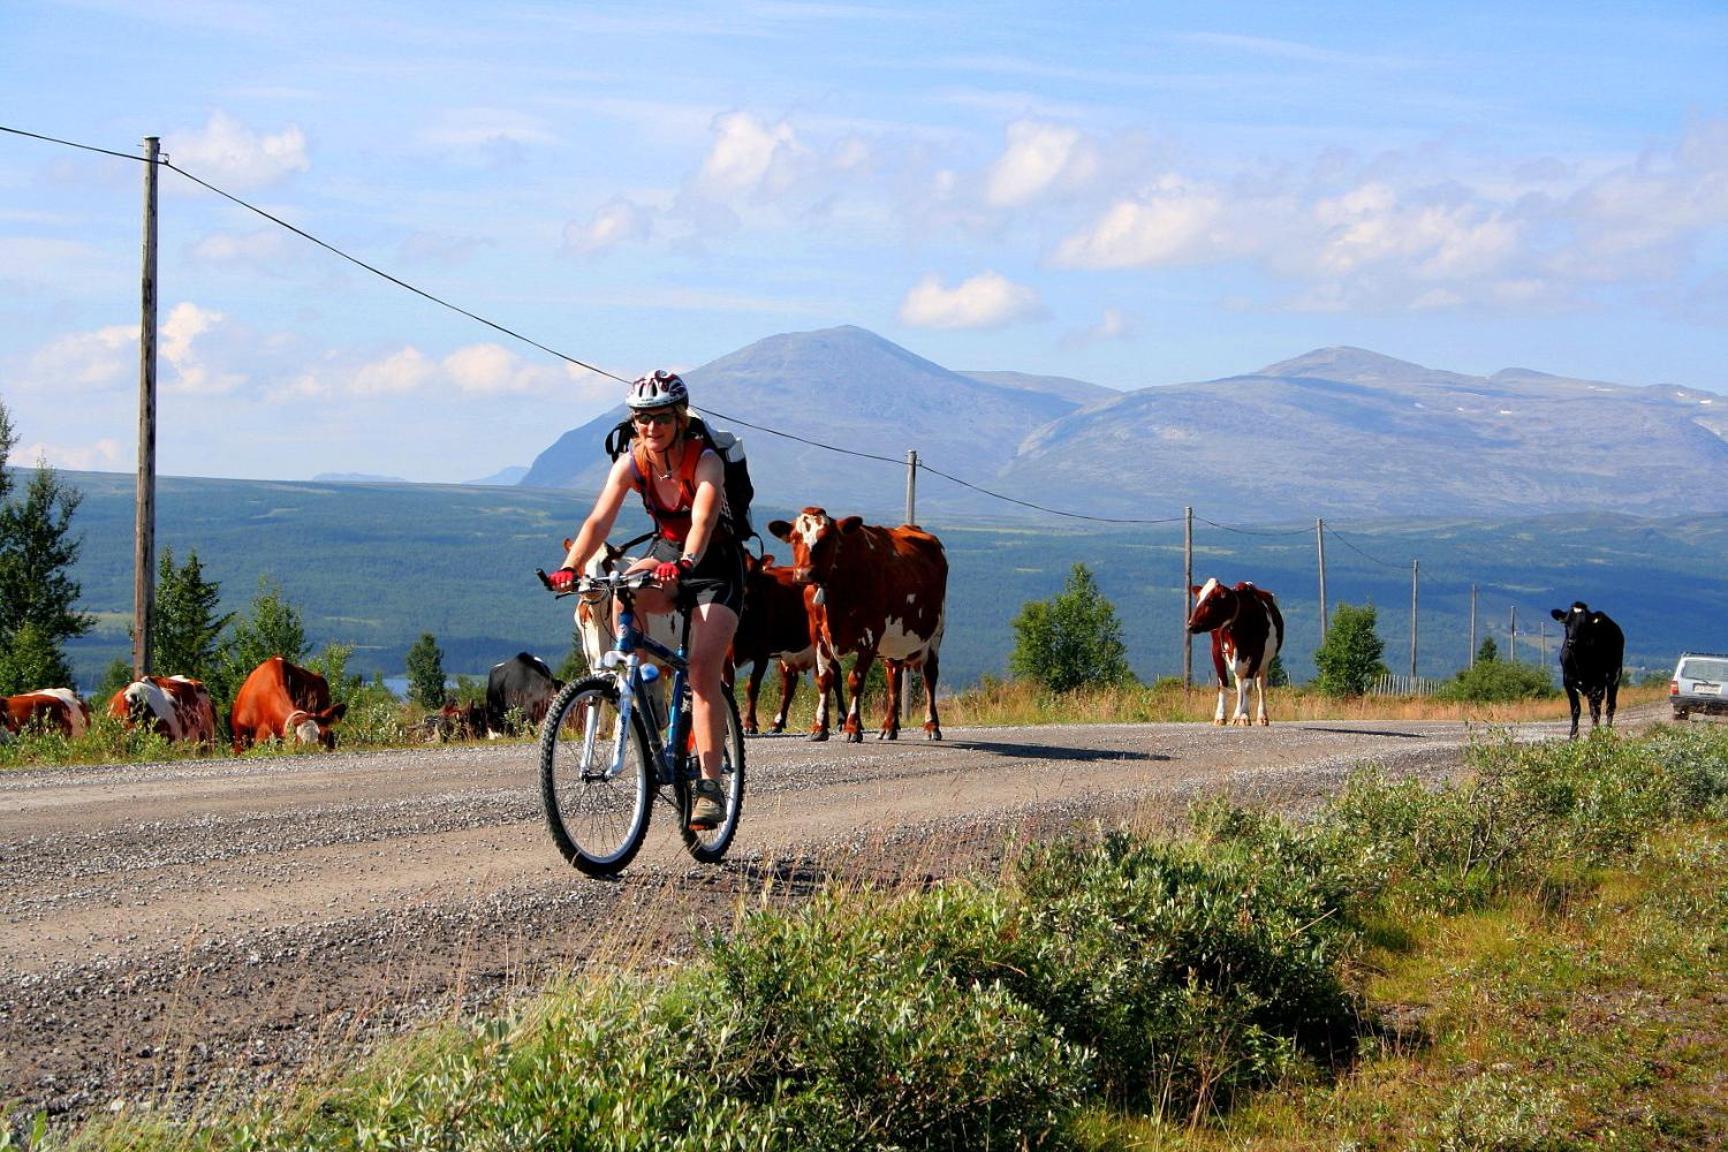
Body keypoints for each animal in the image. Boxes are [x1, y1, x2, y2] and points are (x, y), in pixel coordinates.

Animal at [767, 507, 946, 742]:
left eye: (828, 538)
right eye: (795, 538)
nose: (804, 574)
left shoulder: (870, 635)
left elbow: (855, 680)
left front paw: (852, 728)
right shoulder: (818, 635)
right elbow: (824, 679)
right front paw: (819, 728)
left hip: (935, 632)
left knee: (930, 676)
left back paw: (931, 726)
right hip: (894, 642)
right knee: (894, 676)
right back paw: (888, 727)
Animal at [1188, 580, 1285, 725]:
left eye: (1211, 600)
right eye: (1198, 598)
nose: (1190, 625)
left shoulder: (1257, 652)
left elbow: (1248, 686)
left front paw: (1245, 716)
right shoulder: (1216, 650)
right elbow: (1223, 684)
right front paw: (1221, 716)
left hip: (1265, 662)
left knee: (1260, 685)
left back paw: (1262, 717)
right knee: (1239, 685)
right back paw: (1235, 716)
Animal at [1555, 604, 1617, 739]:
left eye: (1583, 624)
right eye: (1566, 622)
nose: (1571, 642)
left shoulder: (1595, 682)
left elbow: (1595, 711)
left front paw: (1595, 733)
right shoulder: (1567, 681)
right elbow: (1575, 709)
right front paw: (1573, 736)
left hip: (1614, 675)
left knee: (1609, 705)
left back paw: (1608, 731)